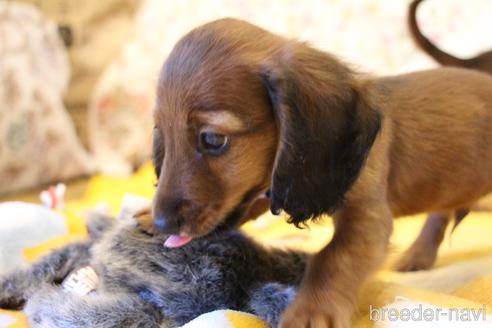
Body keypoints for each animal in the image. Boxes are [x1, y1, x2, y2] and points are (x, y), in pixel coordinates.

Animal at [150, 18, 492, 328]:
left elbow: (332, 257)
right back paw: (418, 255)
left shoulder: (366, 216)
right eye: (162, 137)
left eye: (212, 139)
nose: (162, 223)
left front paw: (310, 311)